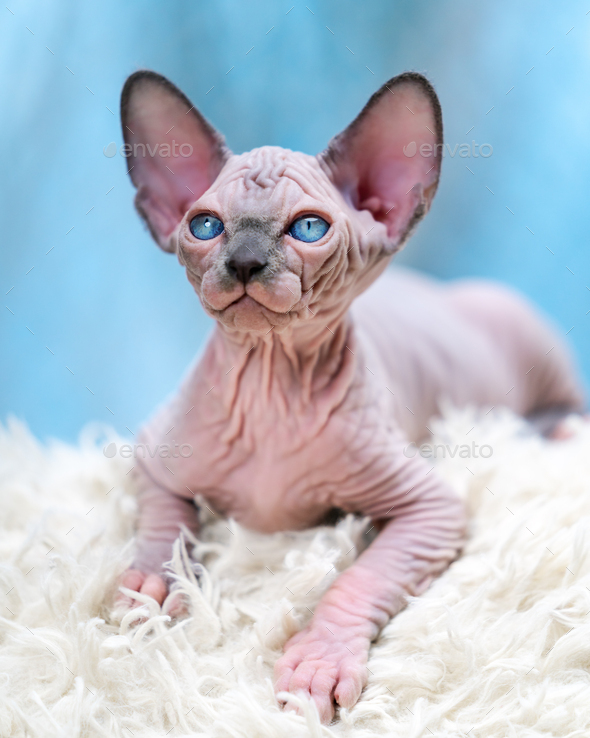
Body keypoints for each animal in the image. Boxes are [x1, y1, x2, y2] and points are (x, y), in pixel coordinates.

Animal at [118, 70, 584, 720]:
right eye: (204, 225)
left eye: (309, 228)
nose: (243, 262)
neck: (270, 386)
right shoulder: (153, 455)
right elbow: (166, 524)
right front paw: (157, 586)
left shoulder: (431, 511)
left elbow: (357, 579)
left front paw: (318, 661)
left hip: (523, 328)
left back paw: (555, 426)